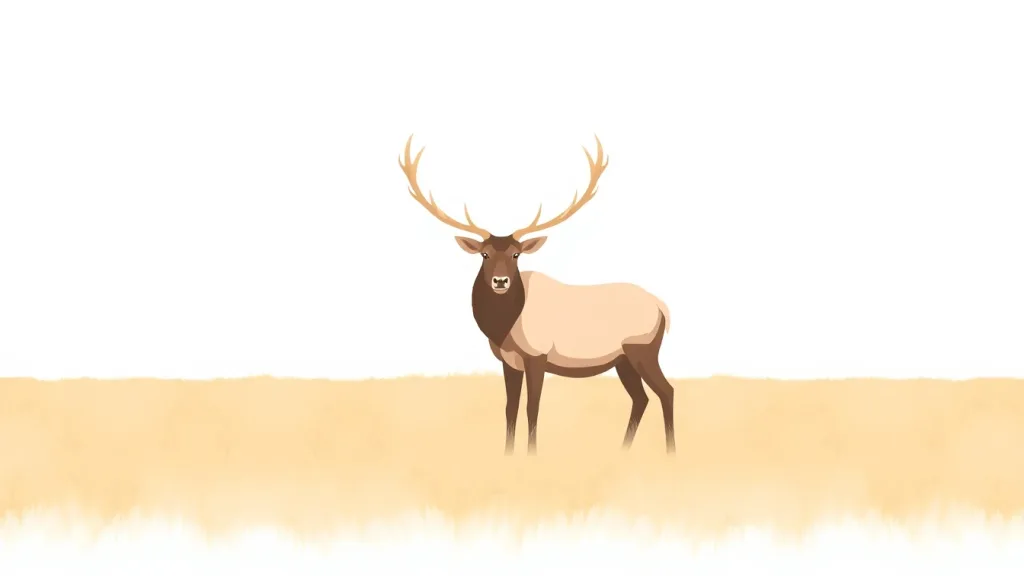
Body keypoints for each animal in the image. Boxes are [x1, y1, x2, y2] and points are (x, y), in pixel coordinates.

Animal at [397, 134, 675, 455]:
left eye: (516, 254)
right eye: (484, 254)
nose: (501, 281)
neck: (504, 329)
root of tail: (662, 309)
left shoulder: (537, 355)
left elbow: (533, 407)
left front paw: (532, 454)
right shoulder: (508, 361)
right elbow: (510, 408)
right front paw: (507, 453)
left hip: (642, 349)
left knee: (666, 390)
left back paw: (670, 451)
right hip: (623, 360)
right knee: (641, 398)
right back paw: (623, 450)